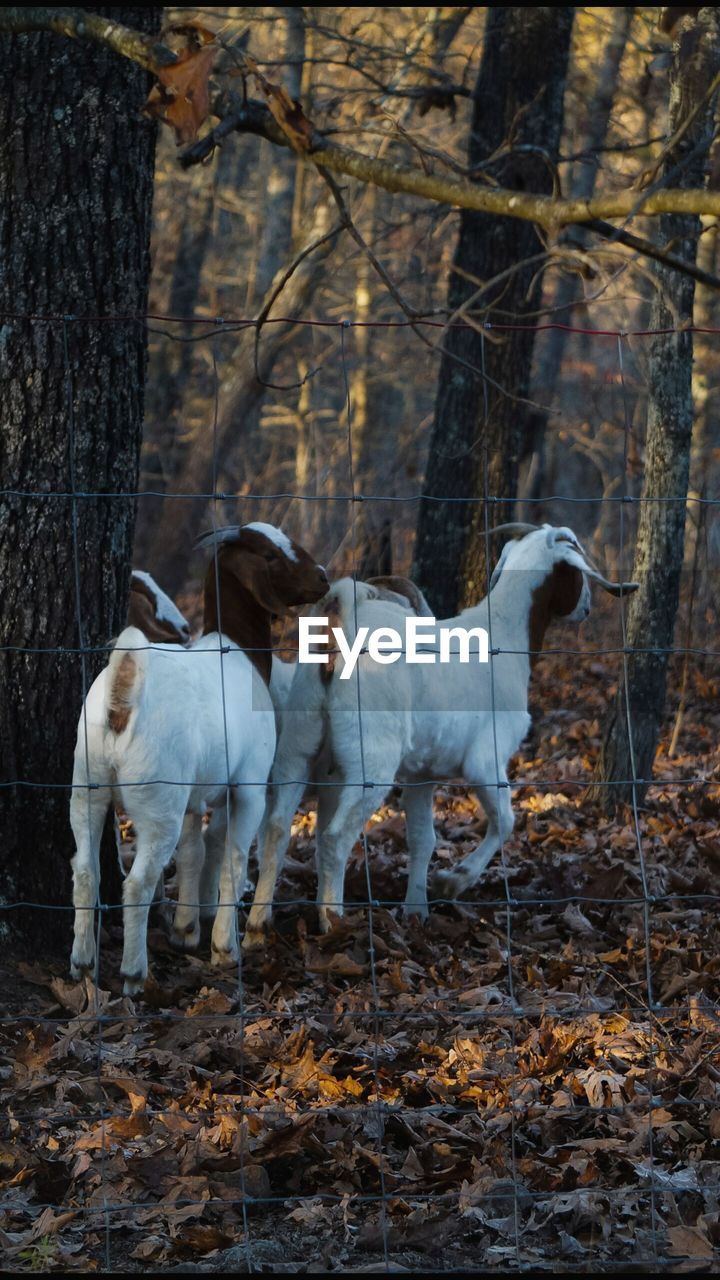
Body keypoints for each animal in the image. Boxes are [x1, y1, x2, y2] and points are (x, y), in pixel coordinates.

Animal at [68, 519, 326, 988]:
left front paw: (186, 930)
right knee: (139, 882)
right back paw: (133, 972)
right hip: (157, 799)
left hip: (86, 784)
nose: (322, 576)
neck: (238, 651)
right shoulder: (248, 785)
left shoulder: (193, 796)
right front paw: (225, 947)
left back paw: (82, 963)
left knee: (85, 871)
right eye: (270, 555)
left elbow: (195, 851)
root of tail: (121, 695)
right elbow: (233, 859)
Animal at [244, 522, 632, 942]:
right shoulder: (485, 759)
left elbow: (422, 838)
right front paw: (454, 881)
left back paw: (257, 926)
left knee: (276, 827)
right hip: (371, 759)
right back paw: (334, 921)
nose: (587, 607)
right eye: (577, 572)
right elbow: (505, 821)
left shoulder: (421, 774)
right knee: (334, 836)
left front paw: (417, 910)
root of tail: (341, 621)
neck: (503, 635)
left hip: (299, 741)